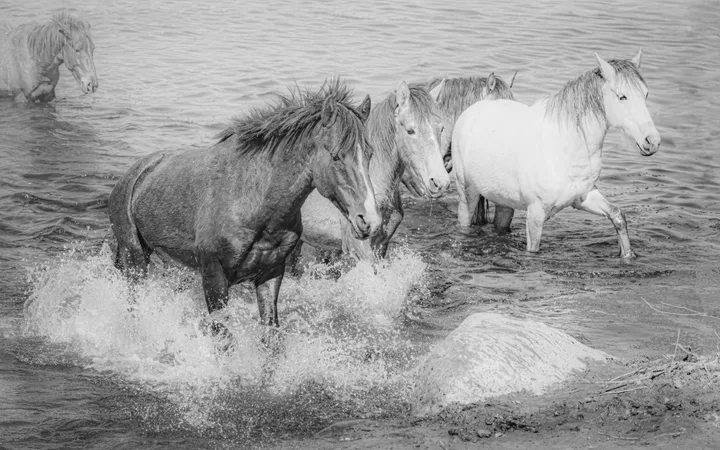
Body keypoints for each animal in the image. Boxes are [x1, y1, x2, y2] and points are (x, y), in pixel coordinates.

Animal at [108, 80, 382, 331]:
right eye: (335, 156)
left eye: (369, 154)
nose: (369, 220)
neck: (254, 204)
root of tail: (134, 174)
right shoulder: (214, 278)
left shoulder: (271, 274)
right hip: (134, 259)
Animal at [452, 50, 660, 258]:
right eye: (622, 97)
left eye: (646, 94)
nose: (652, 141)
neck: (566, 150)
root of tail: (474, 110)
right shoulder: (536, 215)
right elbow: (533, 251)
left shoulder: (584, 197)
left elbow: (618, 216)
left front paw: (628, 256)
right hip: (467, 195)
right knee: (464, 223)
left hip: (504, 201)